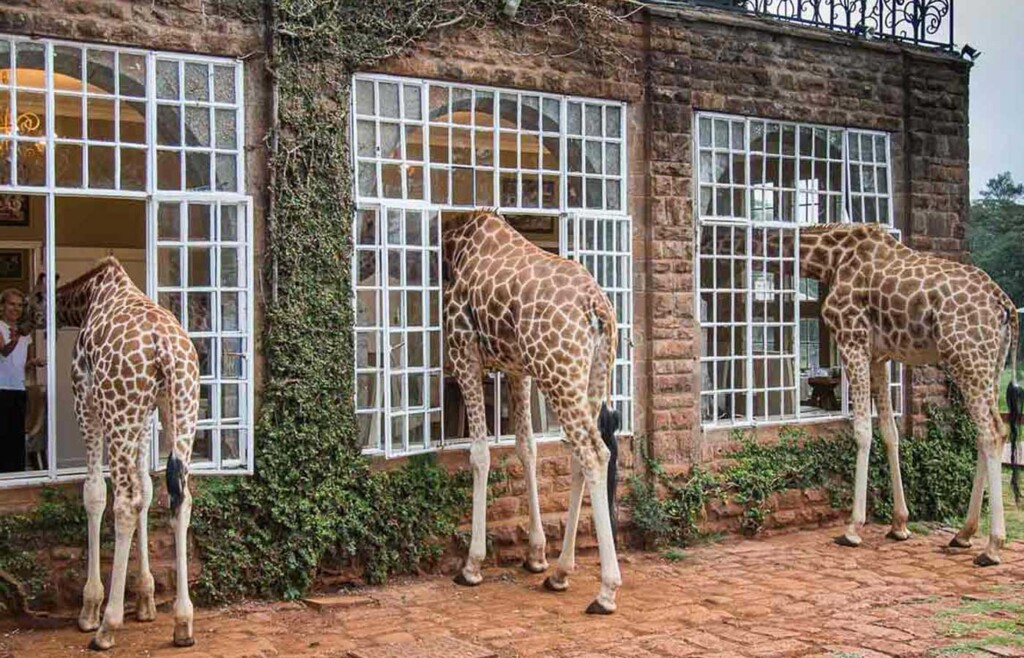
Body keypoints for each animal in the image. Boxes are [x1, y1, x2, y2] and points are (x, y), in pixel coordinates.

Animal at [29, 255, 201, 646]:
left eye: (32, 299)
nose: (20, 323)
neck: (91, 295)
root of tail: (164, 347)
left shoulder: (86, 400)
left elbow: (94, 493)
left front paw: (90, 608)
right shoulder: (146, 412)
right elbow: (149, 491)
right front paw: (146, 599)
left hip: (120, 409)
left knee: (123, 501)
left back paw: (107, 625)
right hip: (182, 405)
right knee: (179, 497)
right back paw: (183, 622)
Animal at [442, 209, 622, 613]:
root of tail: (596, 307)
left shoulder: (463, 352)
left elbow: (479, 454)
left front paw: (472, 565)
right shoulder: (516, 369)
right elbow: (527, 448)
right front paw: (536, 555)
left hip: (558, 373)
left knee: (593, 453)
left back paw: (605, 591)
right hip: (590, 373)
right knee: (583, 455)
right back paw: (560, 572)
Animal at [794, 224, 1019, 564]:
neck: (831, 258)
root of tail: (1005, 304)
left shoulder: (851, 339)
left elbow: (862, 430)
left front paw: (852, 529)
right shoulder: (880, 355)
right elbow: (890, 431)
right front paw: (899, 524)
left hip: (966, 357)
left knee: (992, 432)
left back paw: (992, 546)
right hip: (991, 363)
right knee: (990, 433)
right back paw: (964, 534)